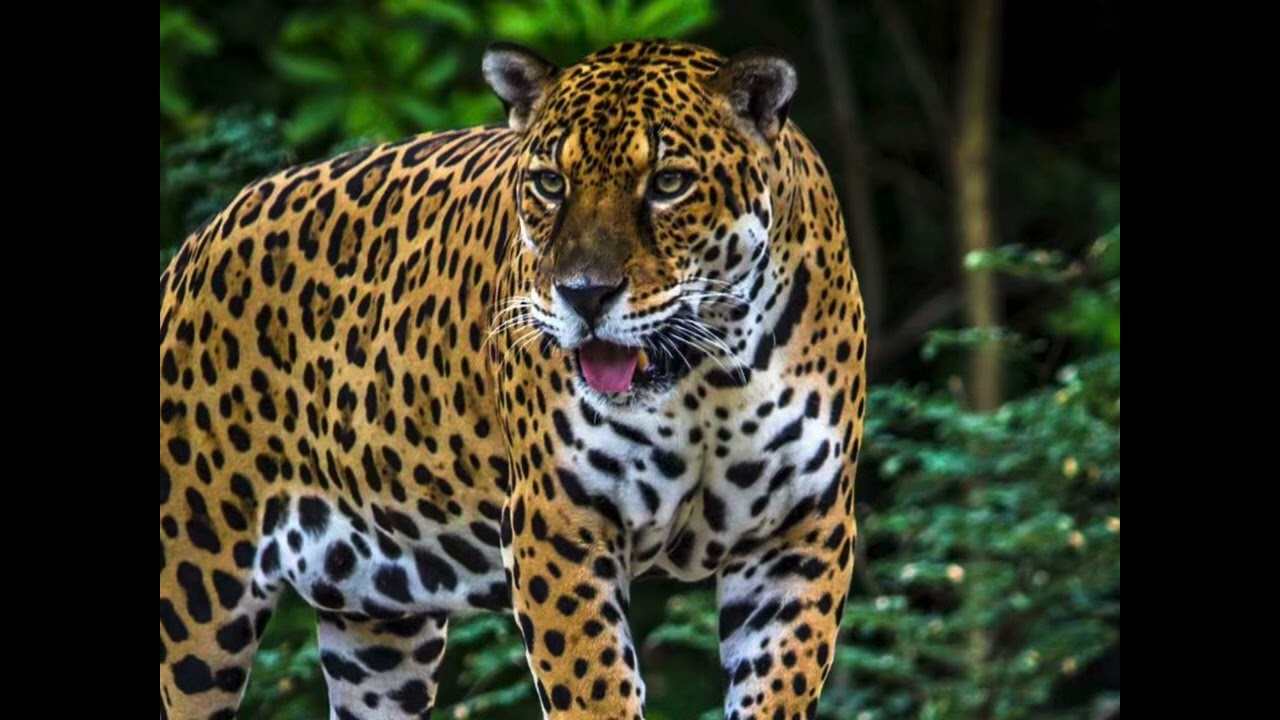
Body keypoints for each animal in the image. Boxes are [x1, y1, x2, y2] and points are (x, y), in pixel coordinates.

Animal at [159, 39, 866, 720]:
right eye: (551, 183)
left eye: (669, 182)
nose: (585, 295)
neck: (709, 379)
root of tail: (193, 245)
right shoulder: (557, 519)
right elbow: (594, 689)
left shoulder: (801, 531)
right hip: (195, 590)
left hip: (379, 631)